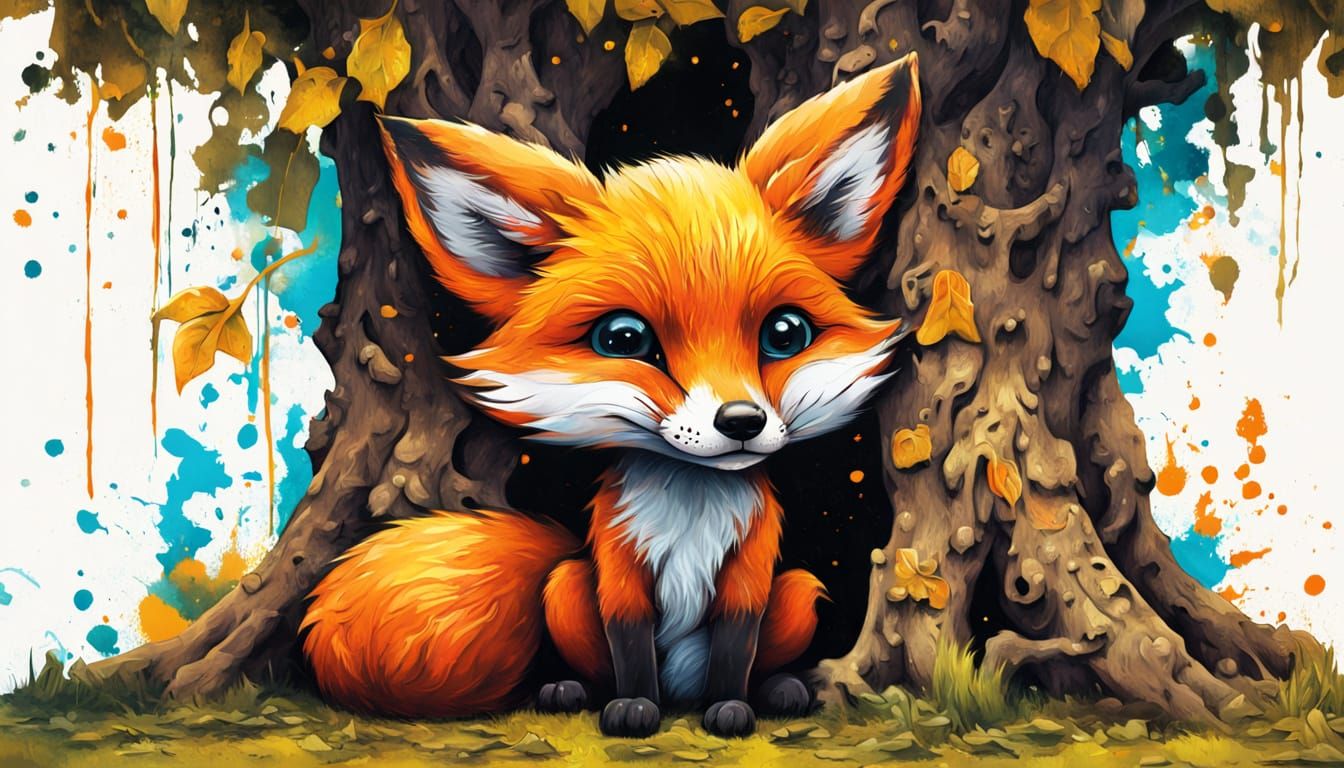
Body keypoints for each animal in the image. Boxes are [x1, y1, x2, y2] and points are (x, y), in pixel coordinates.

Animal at [300, 54, 922, 738]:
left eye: (785, 334)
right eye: (624, 338)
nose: (741, 421)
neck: (691, 506)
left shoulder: (751, 572)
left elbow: (736, 646)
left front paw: (730, 709)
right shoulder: (619, 568)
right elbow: (630, 646)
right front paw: (634, 709)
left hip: (798, 590)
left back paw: (776, 690)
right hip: (566, 586)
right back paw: (572, 691)